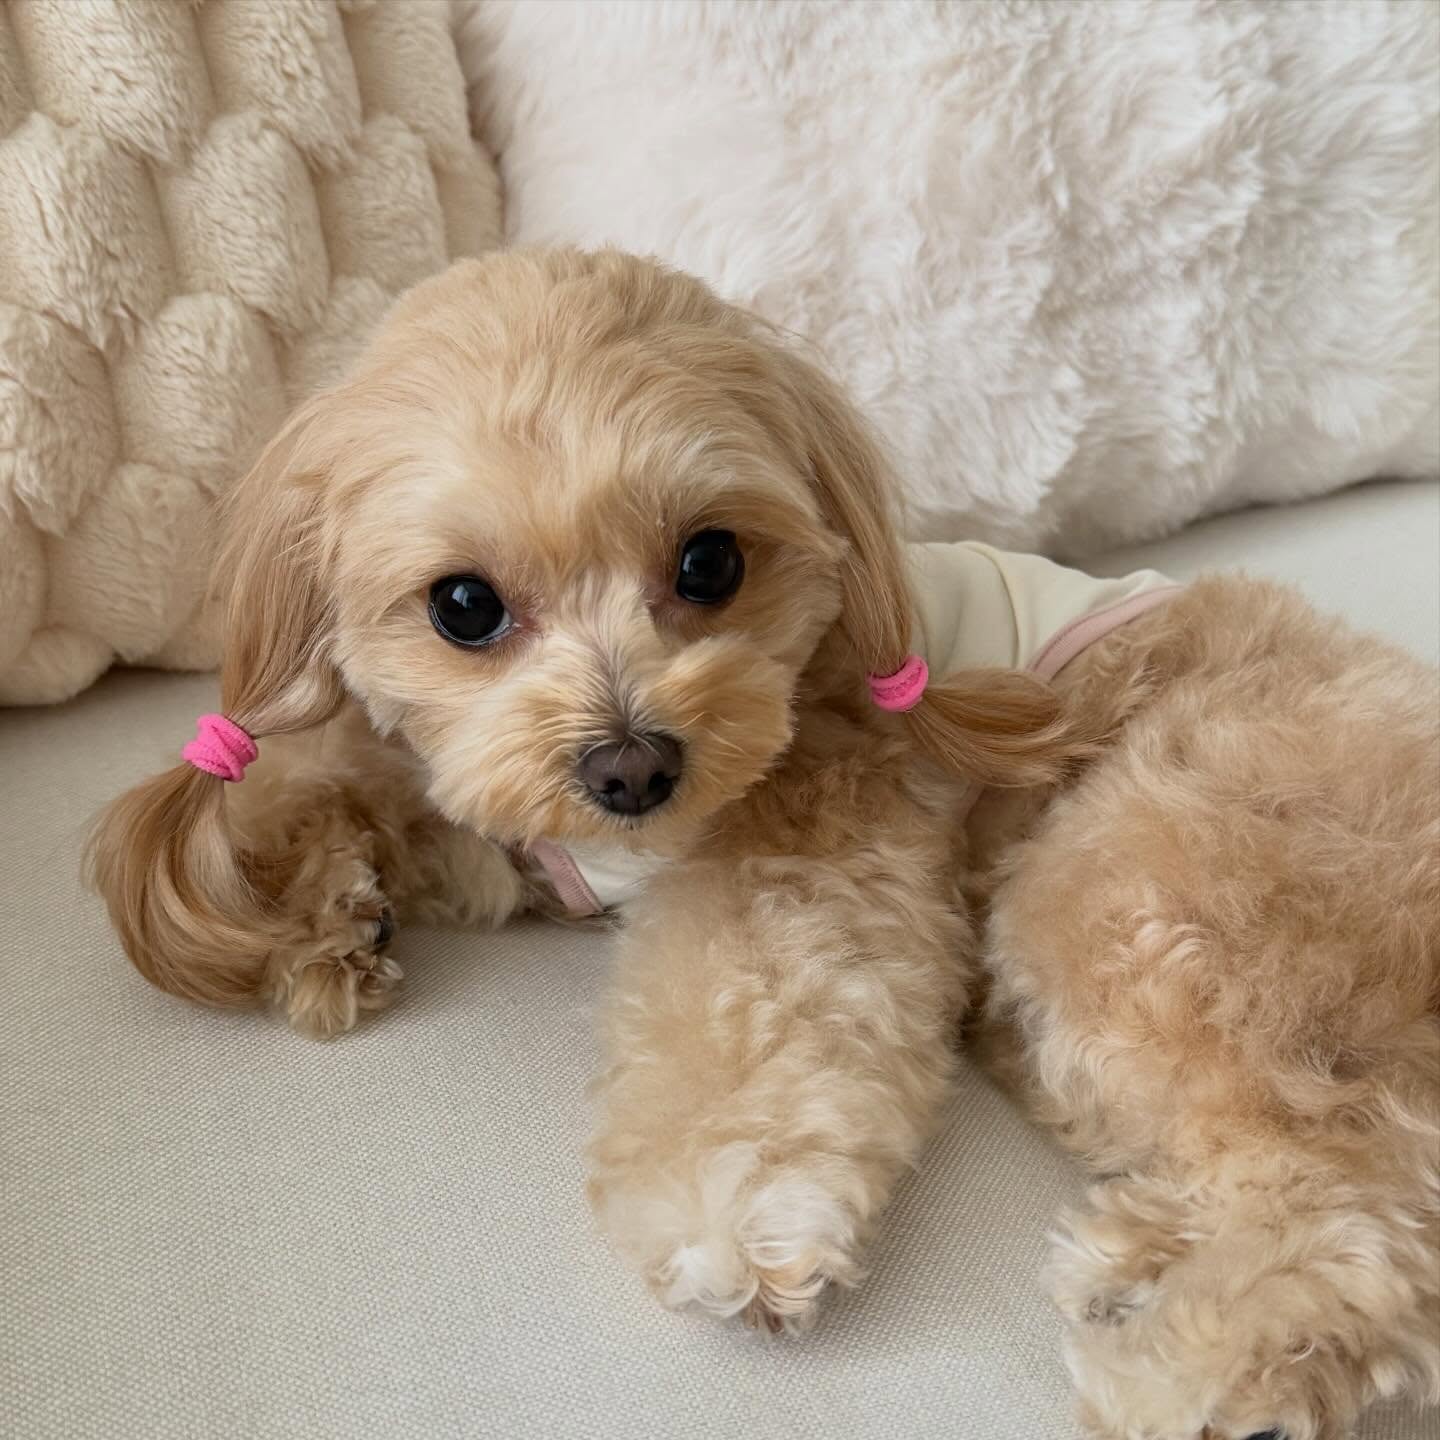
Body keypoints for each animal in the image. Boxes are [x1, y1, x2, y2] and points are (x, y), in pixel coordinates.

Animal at [90, 250, 1439, 1440]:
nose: (632, 766)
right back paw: (1141, 1253)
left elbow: (755, 1026)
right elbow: (345, 783)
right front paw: (321, 920)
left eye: (711, 560)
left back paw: (1190, 1370)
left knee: (1360, 1213)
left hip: (1139, 890)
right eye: (462, 605)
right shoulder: (500, 829)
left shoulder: (811, 846)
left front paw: (739, 1223)